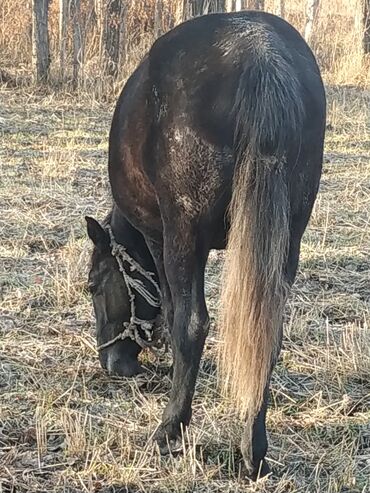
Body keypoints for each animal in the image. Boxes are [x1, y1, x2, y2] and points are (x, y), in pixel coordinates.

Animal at [85, 11, 326, 478]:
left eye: (92, 286)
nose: (112, 363)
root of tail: (260, 55)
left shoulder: (160, 238)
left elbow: (174, 314)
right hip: (287, 239)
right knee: (268, 333)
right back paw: (253, 448)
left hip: (185, 235)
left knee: (193, 323)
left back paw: (169, 430)